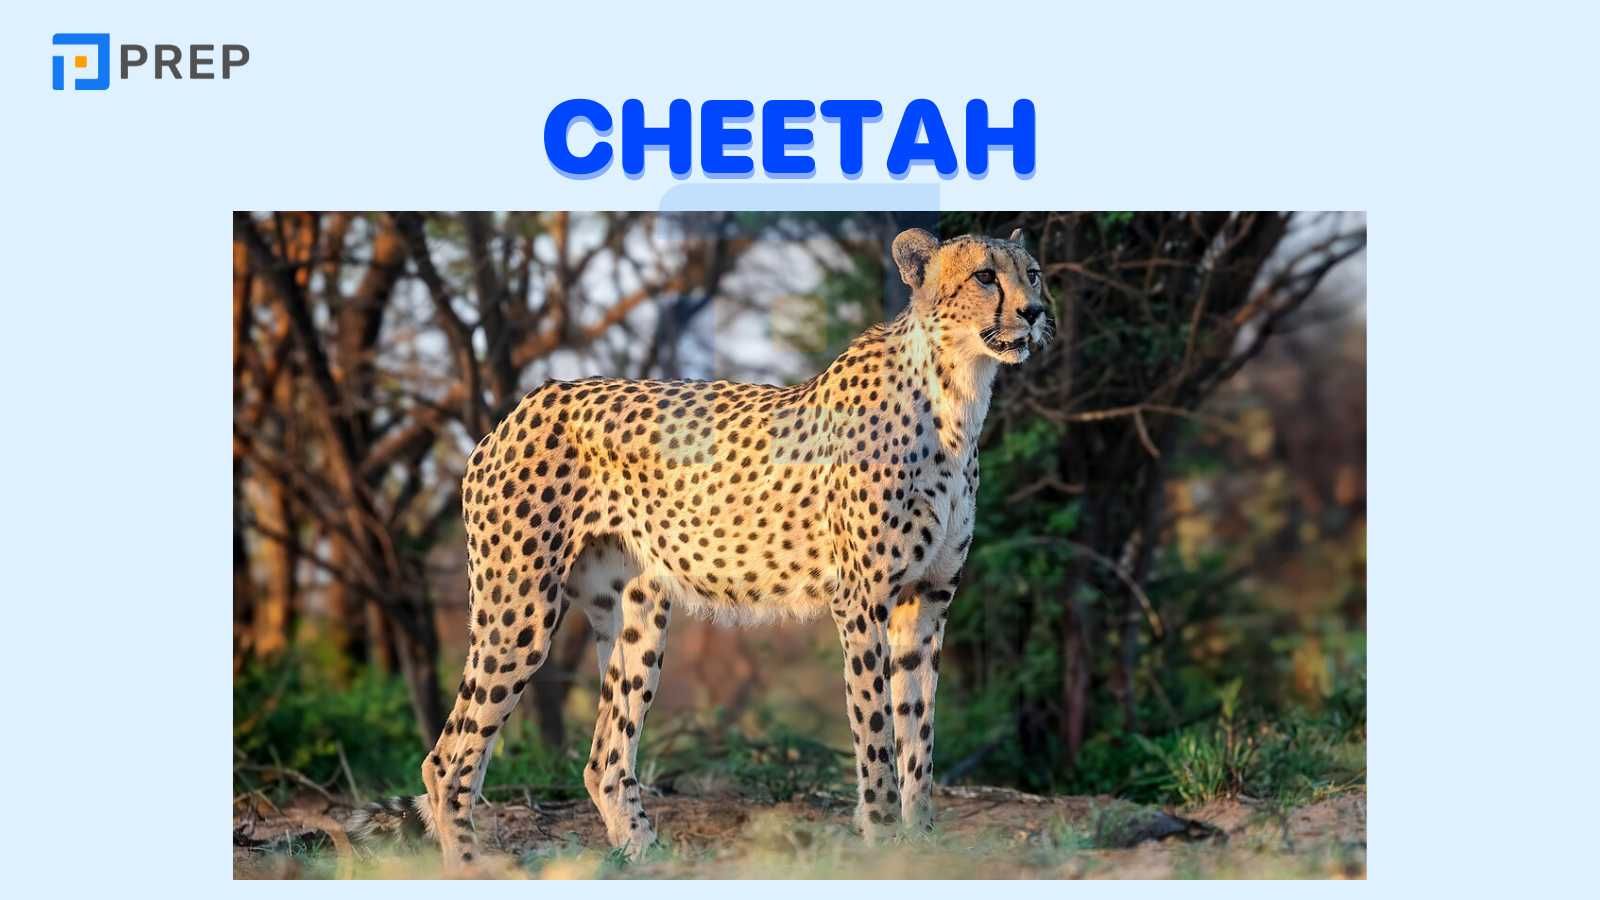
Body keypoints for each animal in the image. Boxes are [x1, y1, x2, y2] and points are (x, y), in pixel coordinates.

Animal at [348, 227, 1055, 868]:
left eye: (1034, 273)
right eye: (985, 276)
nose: (1035, 312)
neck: (956, 393)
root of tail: (523, 406)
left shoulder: (926, 602)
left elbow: (919, 733)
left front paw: (922, 843)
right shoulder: (862, 602)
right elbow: (878, 733)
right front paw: (882, 842)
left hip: (637, 614)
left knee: (604, 758)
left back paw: (649, 858)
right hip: (518, 609)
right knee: (447, 759)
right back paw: (472, 864)